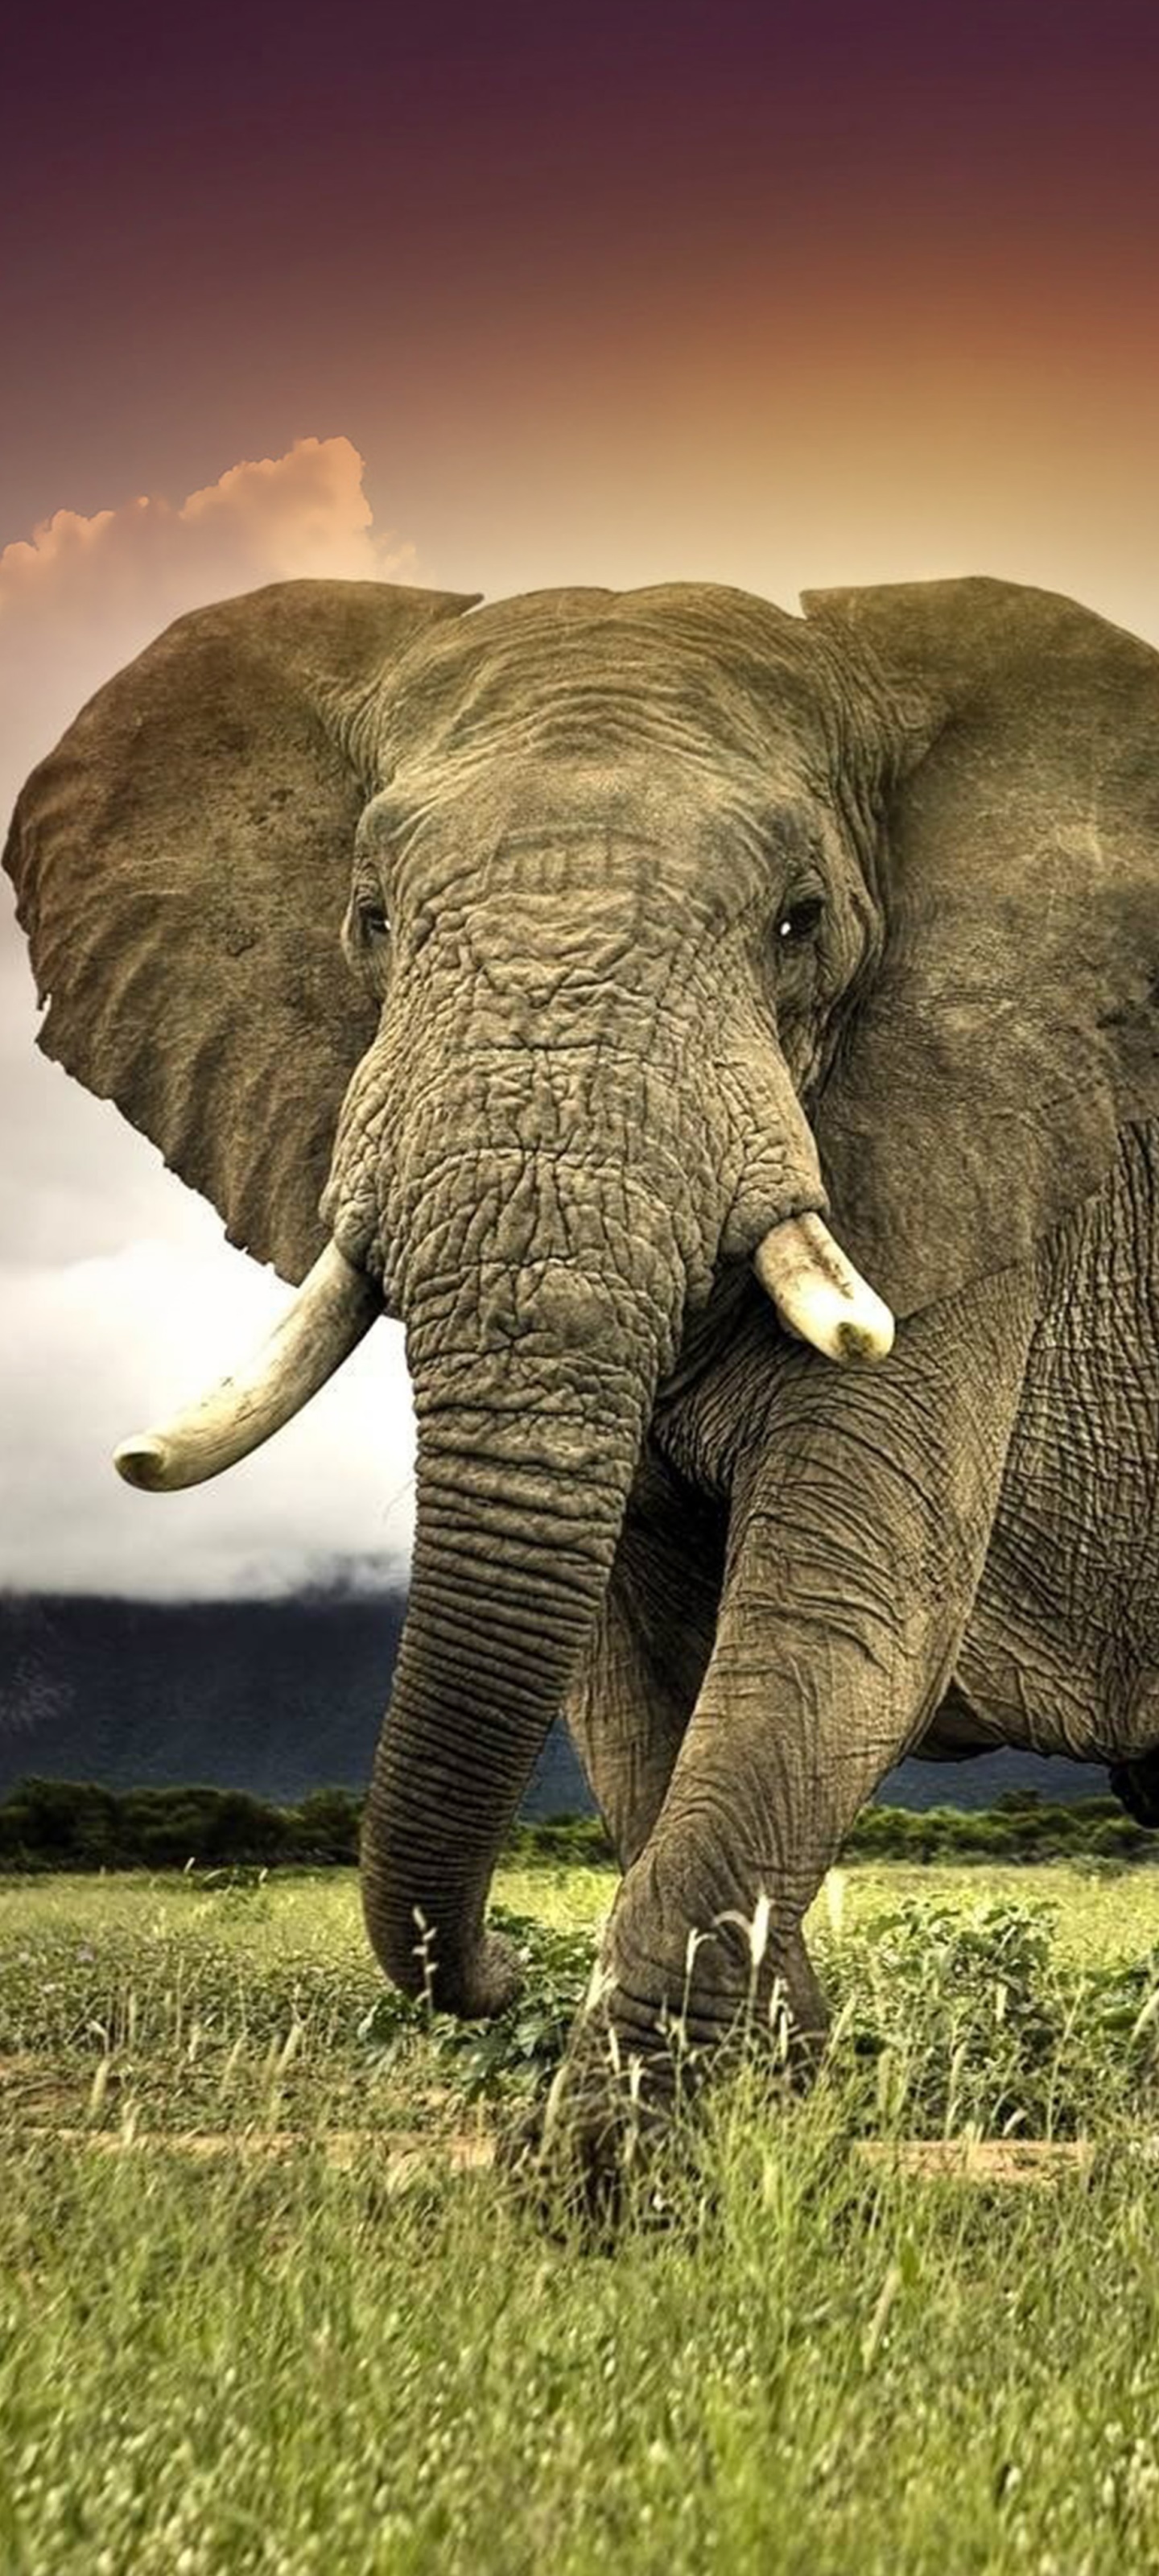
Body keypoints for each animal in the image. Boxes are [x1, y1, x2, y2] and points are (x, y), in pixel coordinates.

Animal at [8, 570, 1159, 2191]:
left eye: (801, 923)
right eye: (371, 921)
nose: (489, 1971)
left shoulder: (979, 1183)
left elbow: (835, 1623)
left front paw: (607, 2192)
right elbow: (632, 1672)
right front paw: (753, 2144)